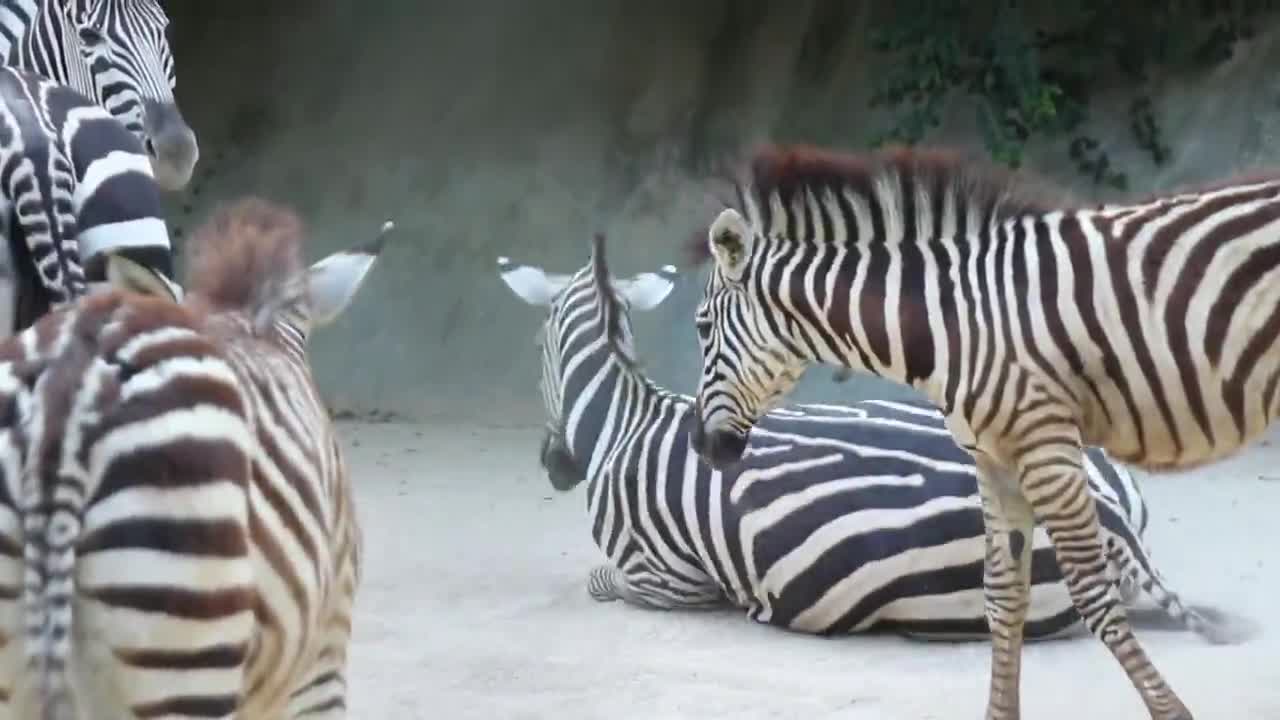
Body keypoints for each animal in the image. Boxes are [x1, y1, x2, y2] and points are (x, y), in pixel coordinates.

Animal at [491, 233, 1239, 640]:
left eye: (532, 348)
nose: (555, 468)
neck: (623, 426)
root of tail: (1112, 519)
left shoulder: (665, 579)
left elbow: (598, 580)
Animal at [691, 141, 1280, 717]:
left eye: (700, 326)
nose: (701, 444)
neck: (951, 323)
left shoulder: (1046, 444)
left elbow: (1094, 594)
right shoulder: (997, 455)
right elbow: (1002, 596)